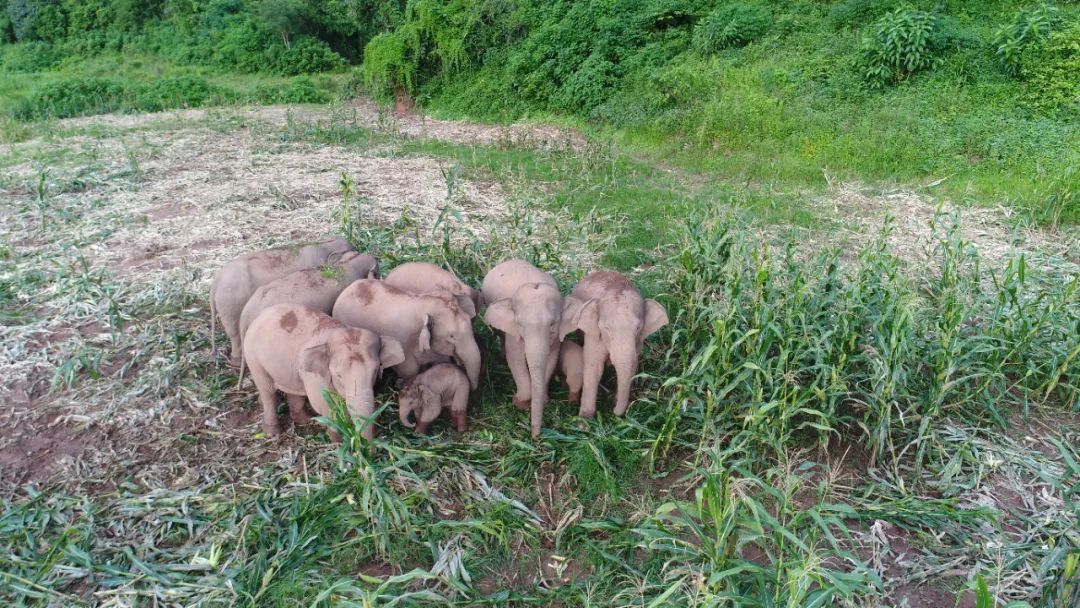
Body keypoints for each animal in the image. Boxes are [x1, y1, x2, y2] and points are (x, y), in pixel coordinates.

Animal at [243, 304, 403, 442]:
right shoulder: (315, 377)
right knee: (267, 391)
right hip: (253, 356)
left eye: (375, 371)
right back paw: (273, 432)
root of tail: (260, 315)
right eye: (339, 375)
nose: (367, 450)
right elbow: (323, 403)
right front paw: (338, 440)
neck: (335, 331)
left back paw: (304, 419)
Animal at [330, 278, 479, 388]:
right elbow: (410, 370)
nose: (473, 392)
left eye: (470, 320)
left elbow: (440, 361)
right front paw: (401, 384)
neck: (422, 304)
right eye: (452, 336)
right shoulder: (403, 342)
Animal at [483, 260, 583, 438]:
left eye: (552, 324)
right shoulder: (514, 334)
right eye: (520, 324)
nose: (535, 437)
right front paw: (520, 403)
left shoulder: (555, 337)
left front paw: (543, 400)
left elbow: (551, 359)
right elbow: (515, 360)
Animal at [565, 273, 665, 421]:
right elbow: (593, 367)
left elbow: (632, 366)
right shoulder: (594, 335)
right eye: (607, 328)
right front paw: (585, 419)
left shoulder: (638, 340)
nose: (614, 413)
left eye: (638, 328)